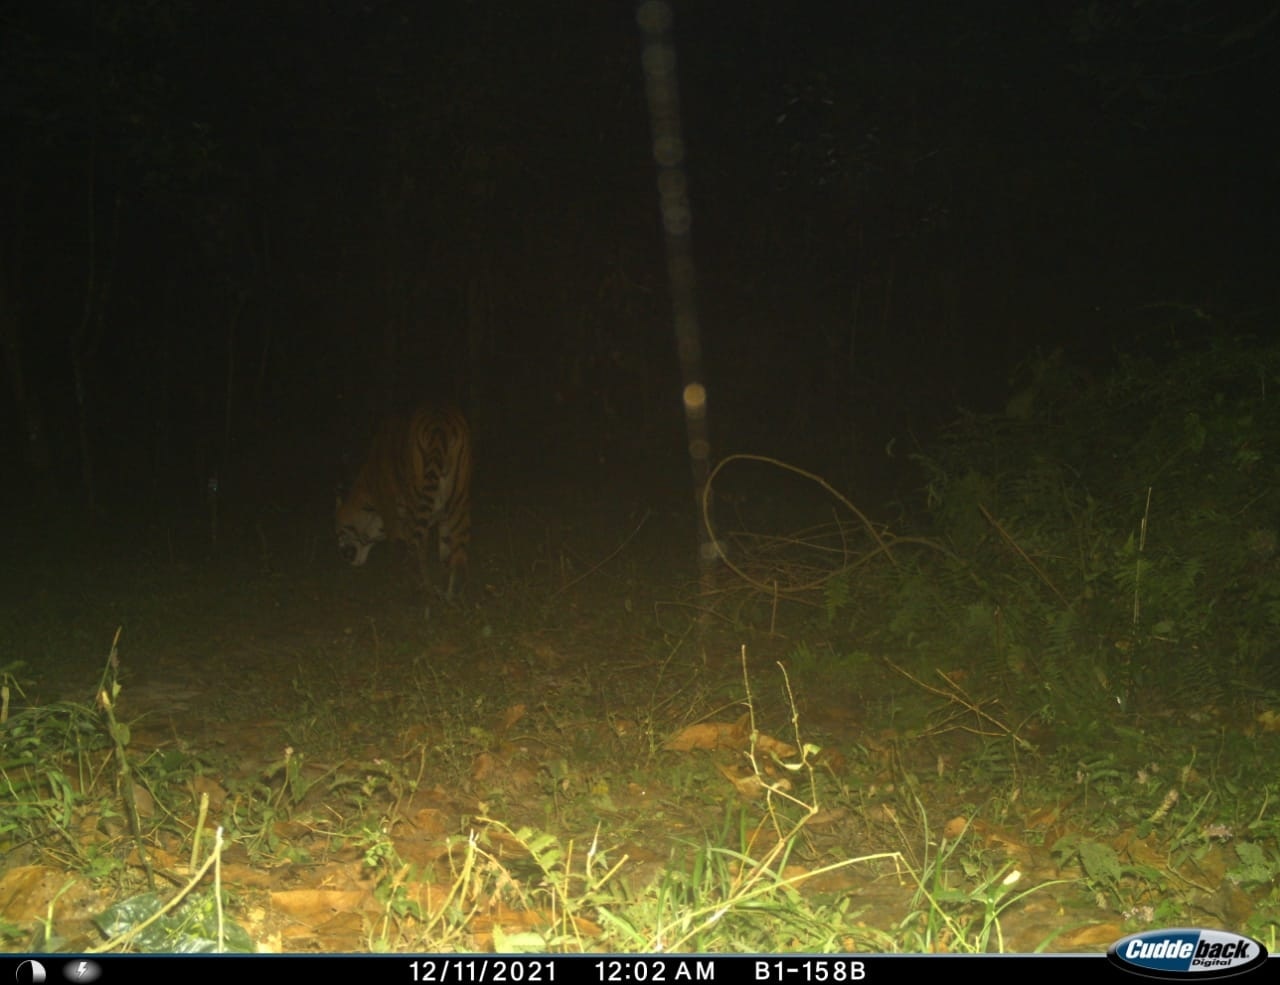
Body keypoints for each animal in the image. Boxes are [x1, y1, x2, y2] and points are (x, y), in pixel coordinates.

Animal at [337, 401, 473, 598]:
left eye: (337, 532)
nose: (341, 555)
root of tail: (438, 422)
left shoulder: (392, 515)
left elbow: (397, 548)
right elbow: (446, 554)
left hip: (419, 506)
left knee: (419, 553)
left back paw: (421, 590)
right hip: (458, 504)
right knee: (459, 554)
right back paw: (458, 596)